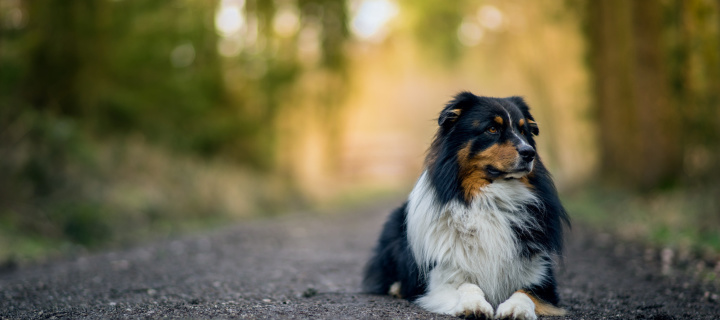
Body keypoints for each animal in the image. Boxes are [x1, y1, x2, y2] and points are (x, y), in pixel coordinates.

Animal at [362, 91, 572, 318]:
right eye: (492, 129)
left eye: (523, 131)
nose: (529, 152)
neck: (490, 199)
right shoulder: (440, 276)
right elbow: (467, 285)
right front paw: (474, 305)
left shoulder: (541, 277)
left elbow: (525, 292)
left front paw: (516, 308)